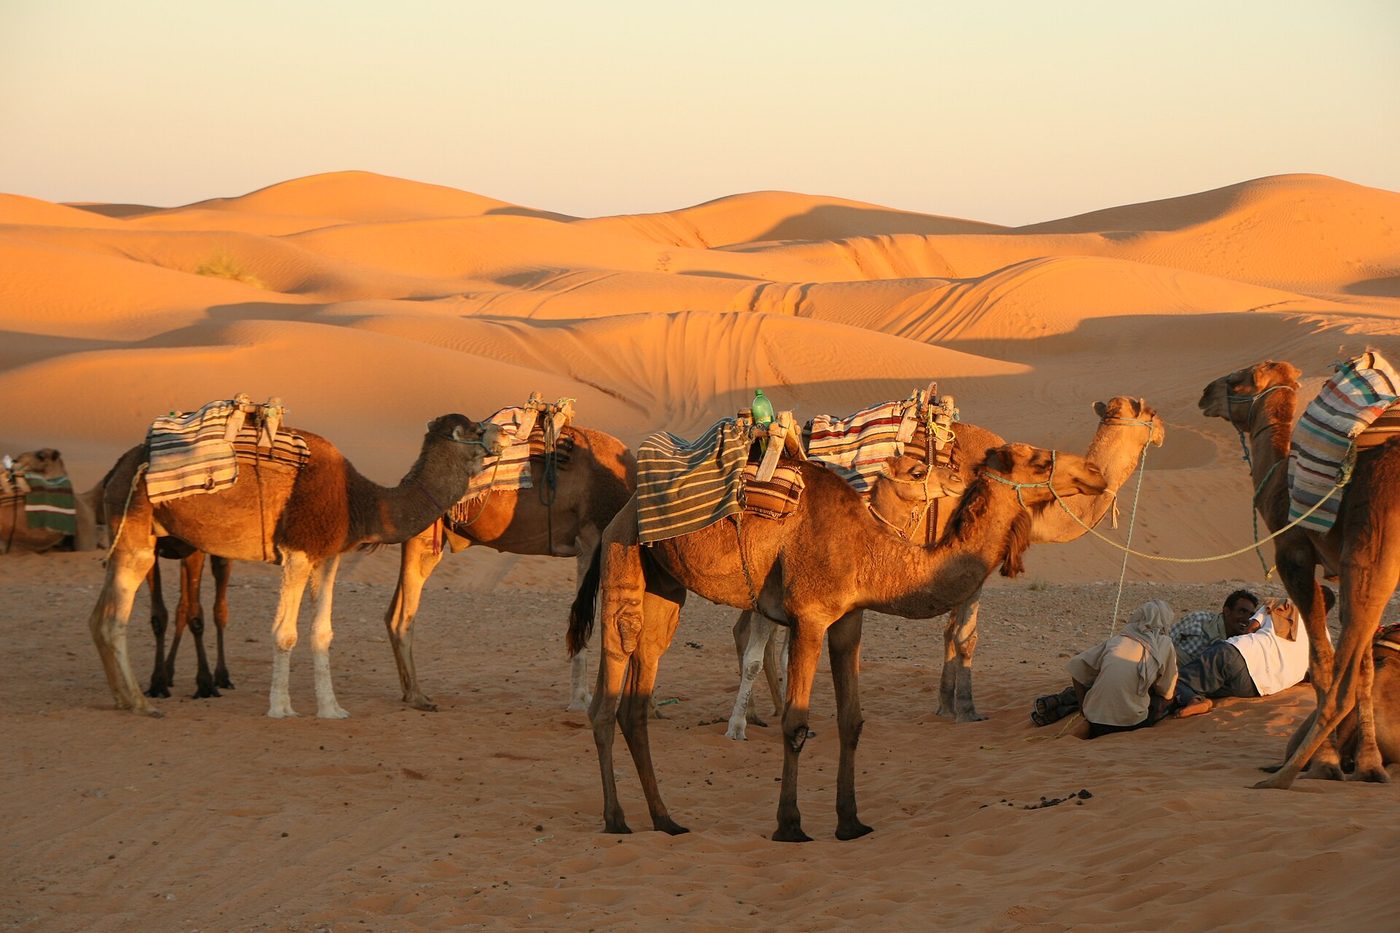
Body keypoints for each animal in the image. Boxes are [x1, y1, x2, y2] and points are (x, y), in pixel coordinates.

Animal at [89, 413, 501, 718]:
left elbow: (322, 632)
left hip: (129, 533)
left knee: (98, 616)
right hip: (136, 529)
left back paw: (122, 698)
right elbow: (284, 632)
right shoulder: (297, 550)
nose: (501, 438)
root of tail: (115, 471)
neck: (359, 501)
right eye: (478, 428)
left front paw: (332, 709)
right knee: (114, 617)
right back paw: (141, 702)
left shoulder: (329, 555)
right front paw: (281, 707)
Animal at [383, 424, 635, 710]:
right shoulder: (590, 541)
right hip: (424, 536)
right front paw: (581, 701)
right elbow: (584, 624)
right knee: (401, 615)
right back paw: (417, 696)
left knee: (393, 612)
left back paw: (410, 692)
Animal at [569, 441, 1108, 841]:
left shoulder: (849, 620)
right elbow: (795, 722)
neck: (871, 550)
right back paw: (616, 820)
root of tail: (623, 511)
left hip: (665, 586)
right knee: (610, 684)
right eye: (1037, 460)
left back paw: (666, 820)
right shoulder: (809, 617)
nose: (1096, 472)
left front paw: (851, 822)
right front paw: (790, 825)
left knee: (638, 691)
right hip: (624, 560)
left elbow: (852, 721)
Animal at [728, 395, 1165, 731]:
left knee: (749, 628)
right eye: (1148, 413)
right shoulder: (971, 563)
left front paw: (944, 704)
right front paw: (967, 710)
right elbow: (964, 635)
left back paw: (762, 713)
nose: (1161, 430)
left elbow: (949, 632)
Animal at [1200, 360, 1399, 787]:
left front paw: (1327, 763)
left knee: (1341, 683)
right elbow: (1367, 669)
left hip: (1371, 556)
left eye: (1237, 379)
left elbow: (1321, 663)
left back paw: (1283, 775)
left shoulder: (1295, 558)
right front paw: (1370, 766)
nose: (1205, 394)